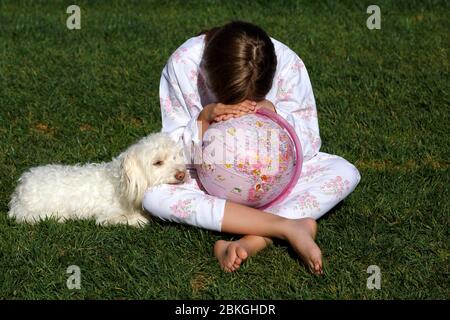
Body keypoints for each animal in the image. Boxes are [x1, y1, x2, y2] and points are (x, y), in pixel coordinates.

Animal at [8, 132, 188, 228]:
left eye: (176, 157)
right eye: (157, 162)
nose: (182, 174)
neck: (122, 183)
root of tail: (18, 193)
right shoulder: (107, 216)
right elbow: (129, 219)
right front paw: (139, 219)